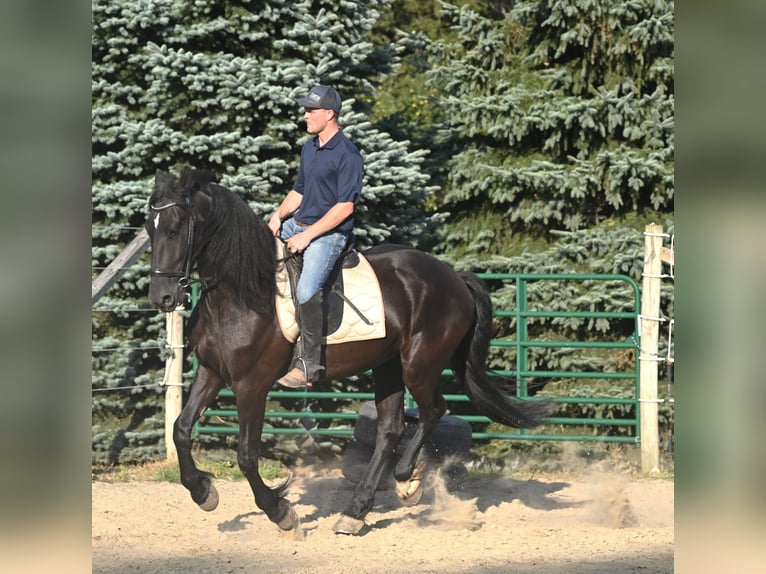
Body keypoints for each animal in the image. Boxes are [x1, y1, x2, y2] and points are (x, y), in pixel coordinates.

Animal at [146, 167, 551, 535]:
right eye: (150, 229)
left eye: (176, 228)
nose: (161, 298)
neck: (240, 295)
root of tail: (454, 278)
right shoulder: (212, 372)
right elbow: (180, 430)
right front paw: (203, 492)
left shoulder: (251, 385)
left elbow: (246, 455)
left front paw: (281, 513)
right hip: (387, 366)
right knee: (390, 430)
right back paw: (356, 512)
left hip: (418, 365)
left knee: (433, 410)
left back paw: (406, 481)